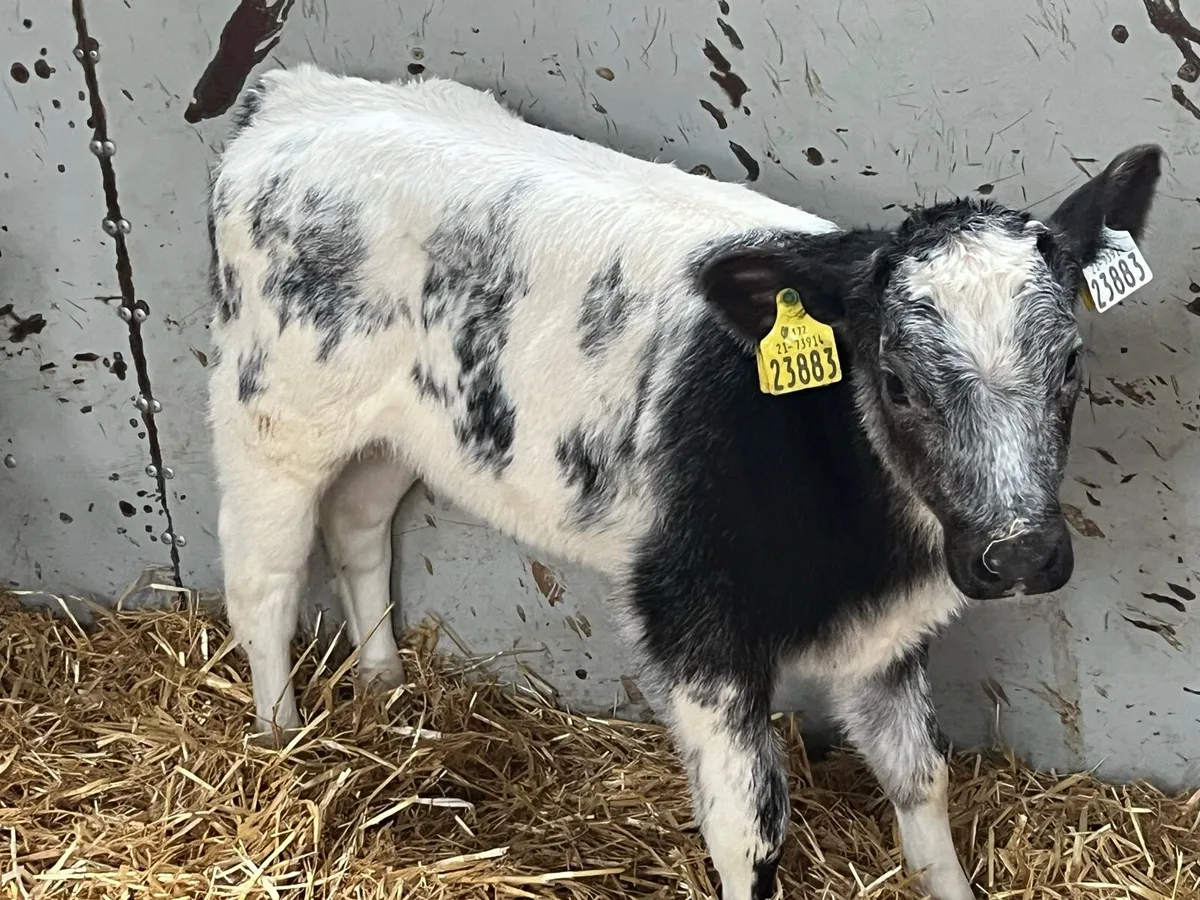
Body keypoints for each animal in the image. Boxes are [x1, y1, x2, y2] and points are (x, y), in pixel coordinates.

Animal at [206, 64, 1162, 900]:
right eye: (894, 381)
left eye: (1071, 362)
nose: (1020, 554)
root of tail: (295, 95)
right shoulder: (693, 623)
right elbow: (751, 831)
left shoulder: (887, 633)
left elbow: (921, 778)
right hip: (270, 420)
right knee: (263, 582)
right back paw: (280, 742)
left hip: (394, 432)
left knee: (360, 528)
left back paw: (384, 682)